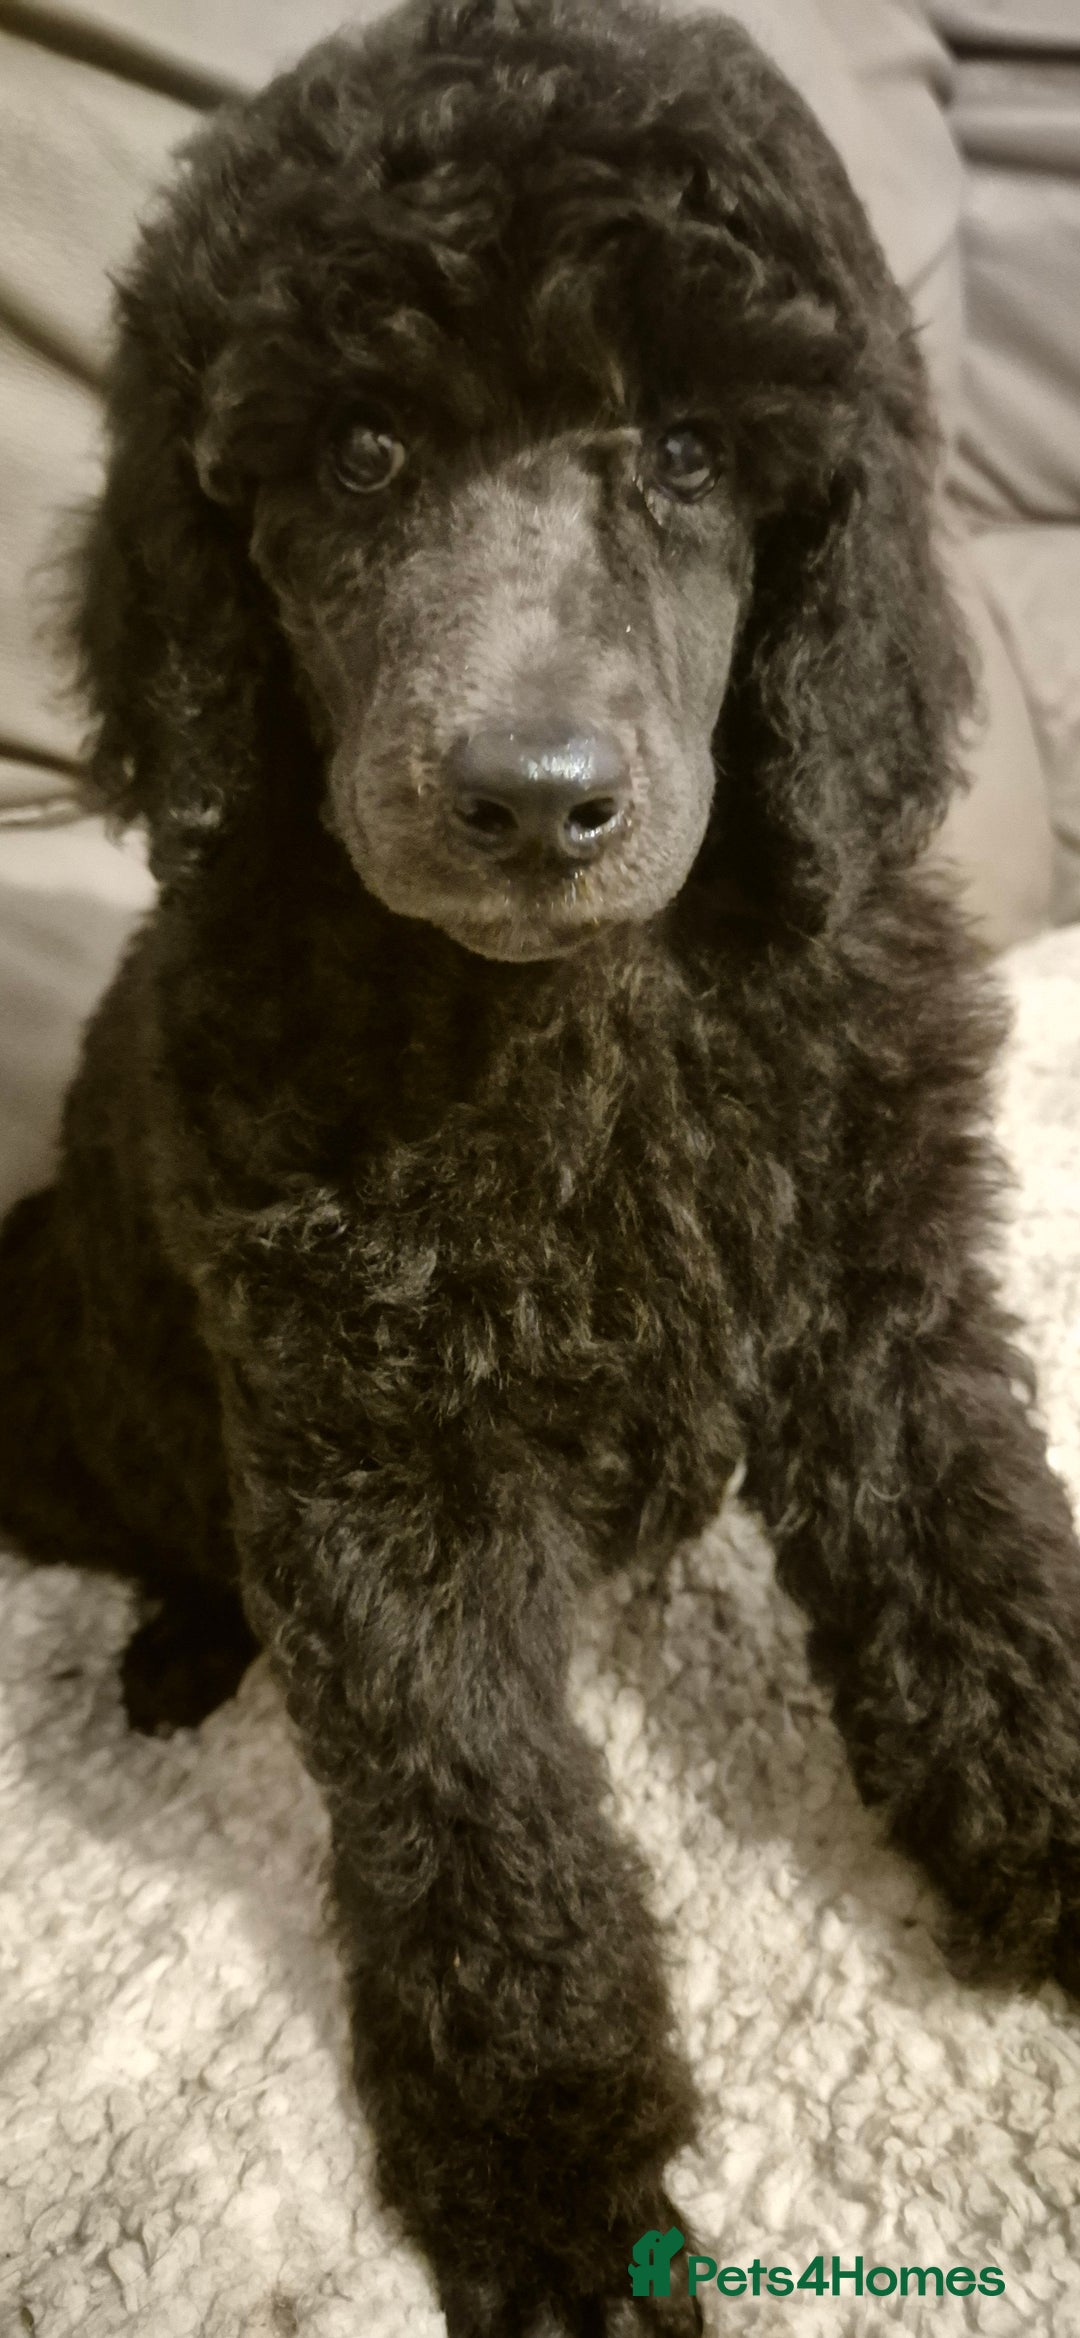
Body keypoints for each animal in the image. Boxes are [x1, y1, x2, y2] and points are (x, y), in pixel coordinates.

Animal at [3, 2, 1079, 2329]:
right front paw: (555, 2170)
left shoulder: (882, 1287)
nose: (529, 798)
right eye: (361, 454)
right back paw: (177, 1651)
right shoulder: (372, 1452)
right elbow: (476, 1815)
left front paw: (1050, 1832)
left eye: (683, 452)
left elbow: (973, 1571)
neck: (578, 1015)